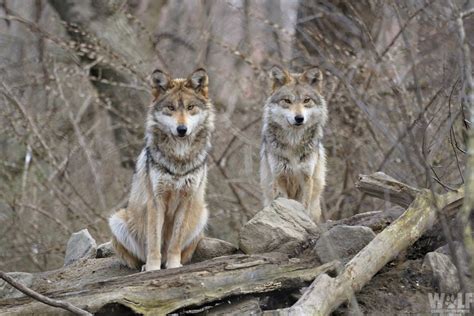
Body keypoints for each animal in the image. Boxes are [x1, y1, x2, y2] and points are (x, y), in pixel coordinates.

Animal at [108, 68, 214, 270]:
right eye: (171, 108)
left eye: (190, 107)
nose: (182, 129)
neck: (179, 158)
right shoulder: (156, 201)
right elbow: (154, 241)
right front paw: (152, 268)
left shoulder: (186, 200)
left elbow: (175, 242)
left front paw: (173, 265)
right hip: (117, 219)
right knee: (138, 257)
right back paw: (145, 266)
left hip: (202, 215)